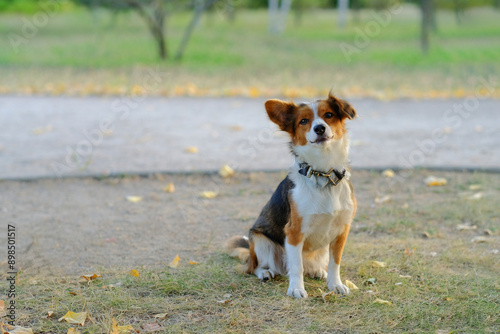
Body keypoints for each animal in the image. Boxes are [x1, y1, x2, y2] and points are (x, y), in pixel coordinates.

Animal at [227, 91, 356, 298]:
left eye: (328, 115)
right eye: (303, 121)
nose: (320, 128)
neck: (323, 174)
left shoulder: (341, 231)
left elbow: (335, 263)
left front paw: (335, 284)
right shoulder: (294, 232)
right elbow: (296, 266)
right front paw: (296, 288)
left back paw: (317, 271)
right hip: (261, 241)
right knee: (255, 267)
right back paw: (265, 272)